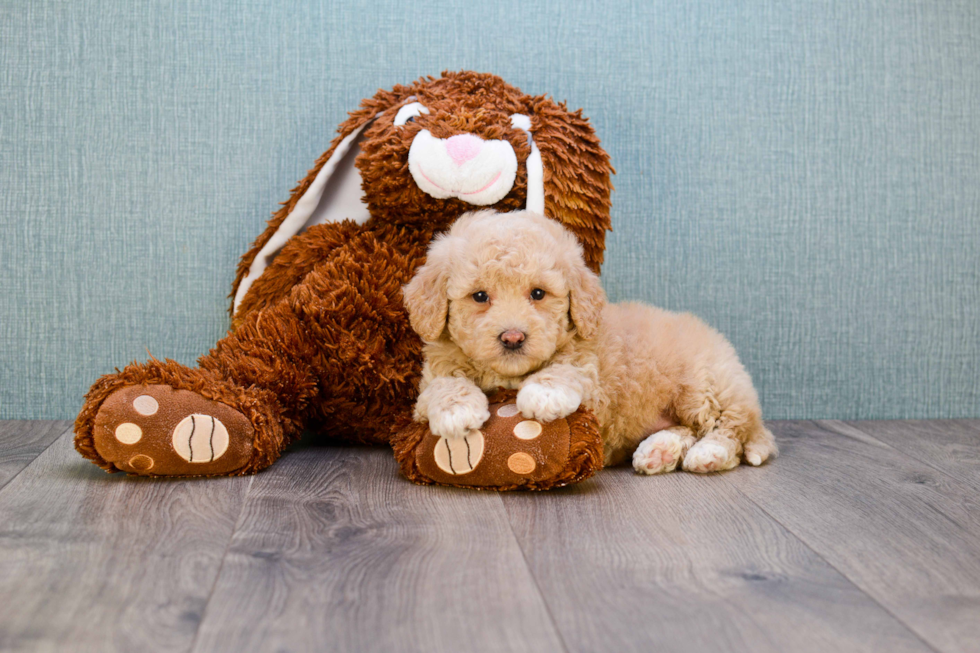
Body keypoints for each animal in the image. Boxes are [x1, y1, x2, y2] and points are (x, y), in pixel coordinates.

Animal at [402, 211, 776, 472]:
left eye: (538, 294)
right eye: (480, 296)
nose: (513, 337)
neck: (508, 375)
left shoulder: (593, 379)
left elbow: (566, 368)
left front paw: (544, 393)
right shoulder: (430, 379)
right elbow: (444, 383)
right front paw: (456, 410)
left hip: (706, 385)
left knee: (731, 431)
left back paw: (708, 453)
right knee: (693, 430)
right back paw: (659, 451)